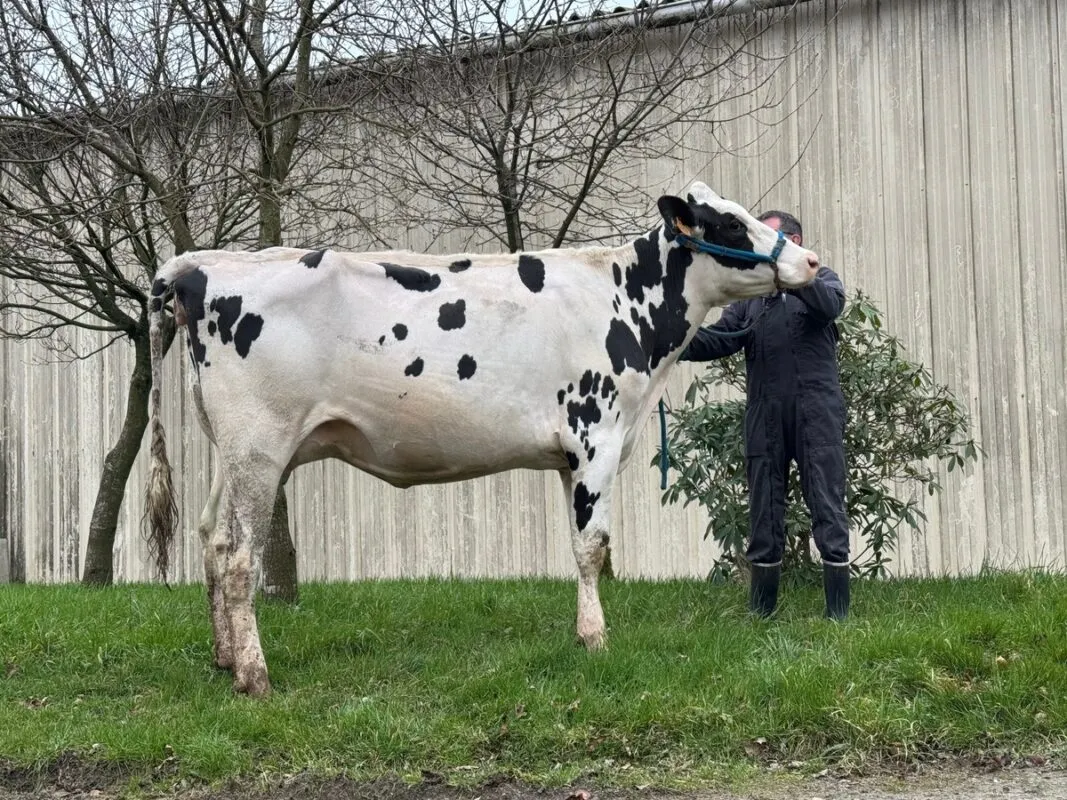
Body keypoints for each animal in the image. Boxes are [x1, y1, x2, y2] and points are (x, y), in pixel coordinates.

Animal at [144, 181, 820, 697]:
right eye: (730, 223)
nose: (812, 261)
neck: (625, 302)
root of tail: (201, 265)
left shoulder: (569, 457)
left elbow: (578, 546)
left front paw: (585, 633)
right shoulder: (595, 436)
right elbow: (591, 547)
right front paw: (597, 640)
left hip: (231, 451)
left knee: (213, 542)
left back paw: (225, 660)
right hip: (260, 446)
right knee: (240, 559)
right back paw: (256, 676)